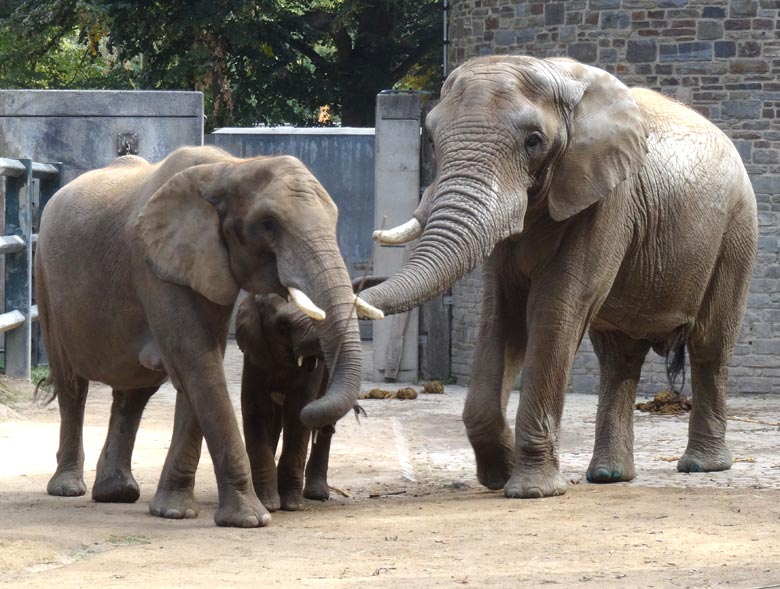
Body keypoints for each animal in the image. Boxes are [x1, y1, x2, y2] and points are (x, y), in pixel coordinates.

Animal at [238, 276, 384, 510]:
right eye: (283, 326)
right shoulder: (255, 353)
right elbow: (255, 408)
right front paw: (268, 505)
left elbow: (299, 409)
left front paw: (291, 506)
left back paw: (317, 494)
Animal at [362, 55, 760, 498]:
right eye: (431, 140)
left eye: (534, 141)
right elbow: (502, 314)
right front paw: (499, 474)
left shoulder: (608, 199)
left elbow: (555, 309)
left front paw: (530, 491)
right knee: (617, 357)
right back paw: (609, 475)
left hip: (736, 229)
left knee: (709, 344)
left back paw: (701, 466)